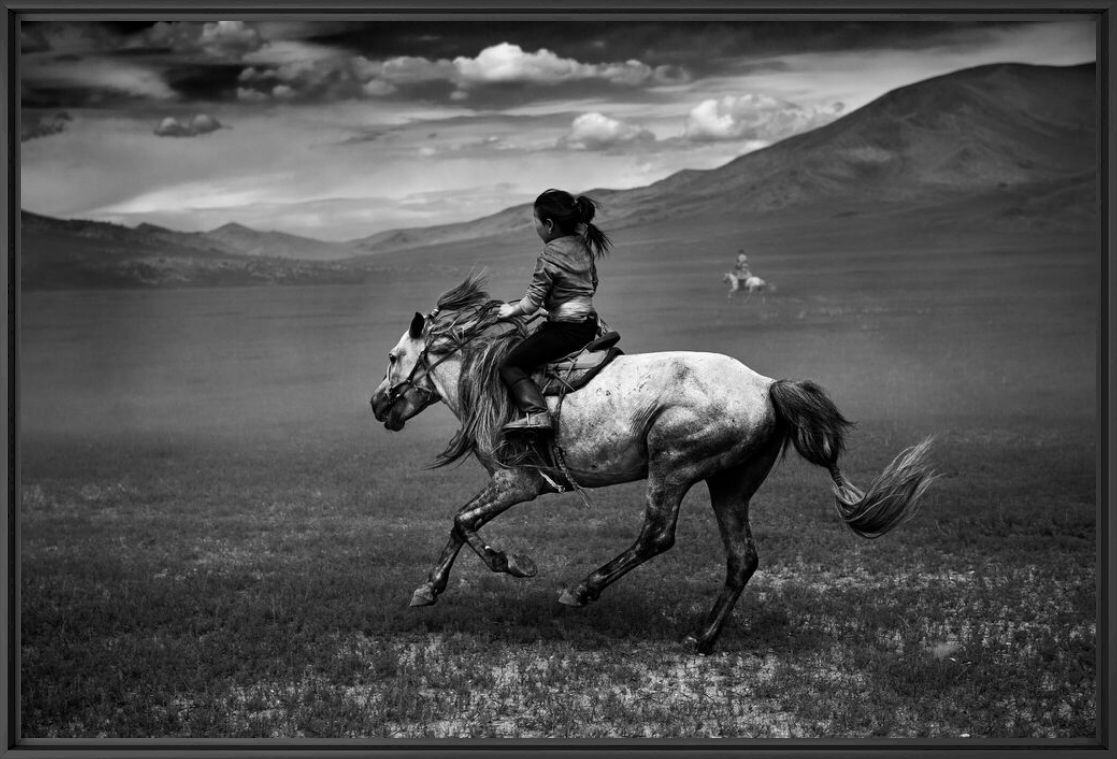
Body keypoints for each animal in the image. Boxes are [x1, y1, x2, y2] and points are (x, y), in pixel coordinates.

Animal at [368, 276, 933, 657]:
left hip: (673, 466)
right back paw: (702, 638)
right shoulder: (511, 485)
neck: (487, 380)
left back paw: (581, 590)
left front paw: (505, 567)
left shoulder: (518, 481)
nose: (377, 406)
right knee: (742, 558)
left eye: (393, 357)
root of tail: (767, 385)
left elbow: (462, 521)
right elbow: (460, 524)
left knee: (657, 535)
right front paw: (433, 588)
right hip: (731, 485)